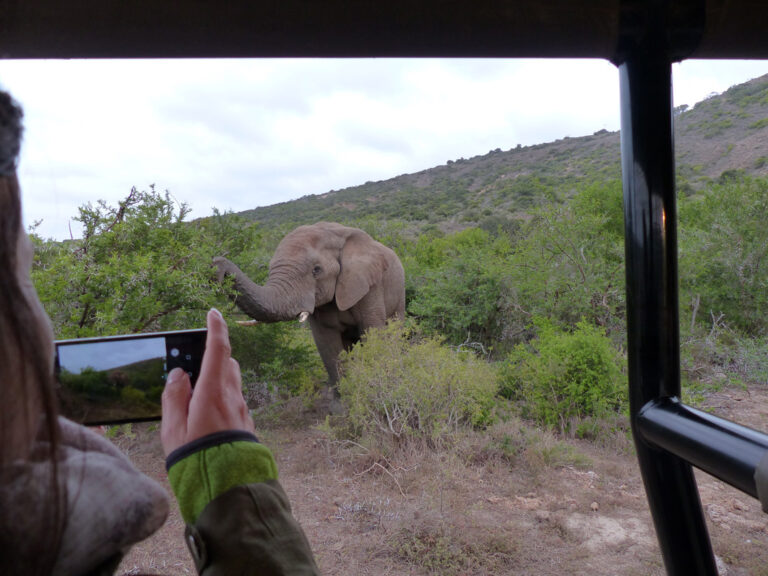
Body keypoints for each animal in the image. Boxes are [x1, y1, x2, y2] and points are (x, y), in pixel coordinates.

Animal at [213, 223, 404, 390]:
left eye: (316, 270)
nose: (216, 264)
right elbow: (327, 344)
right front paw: (345, 398)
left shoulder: (370, 285)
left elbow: (372, 330)